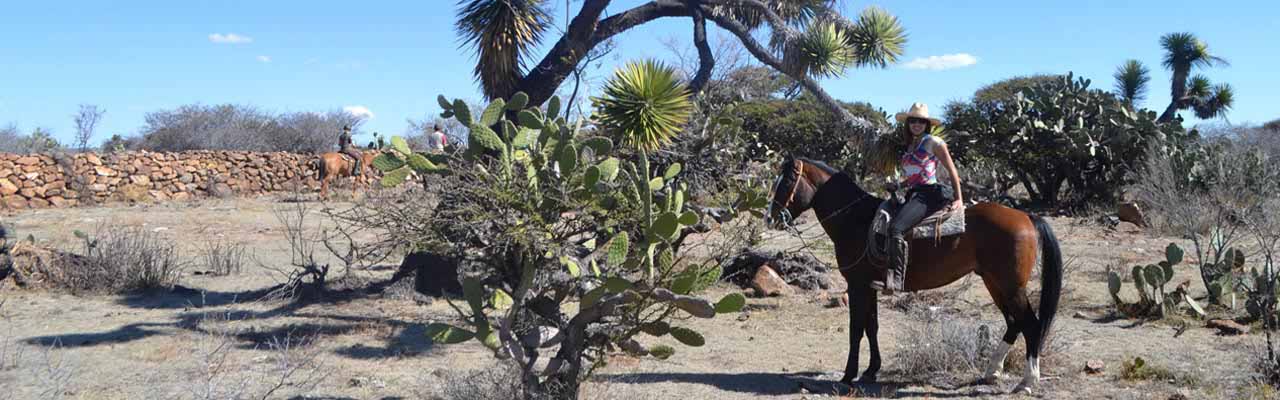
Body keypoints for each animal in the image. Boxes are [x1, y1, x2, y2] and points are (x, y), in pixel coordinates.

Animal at [762, 157, 1064, 394]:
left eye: (786, 181)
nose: (770, 218)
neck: (856, 219)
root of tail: (1026, 217)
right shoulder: (869, 287)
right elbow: (871, 327)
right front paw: (871, 370)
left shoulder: (857, 285)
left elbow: (856, 329)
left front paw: (849, 375)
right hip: (995, 283)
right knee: (1014, 323)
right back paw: (992, 372)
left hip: (1010, 286)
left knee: (1031, 325)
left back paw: (1027, 382)